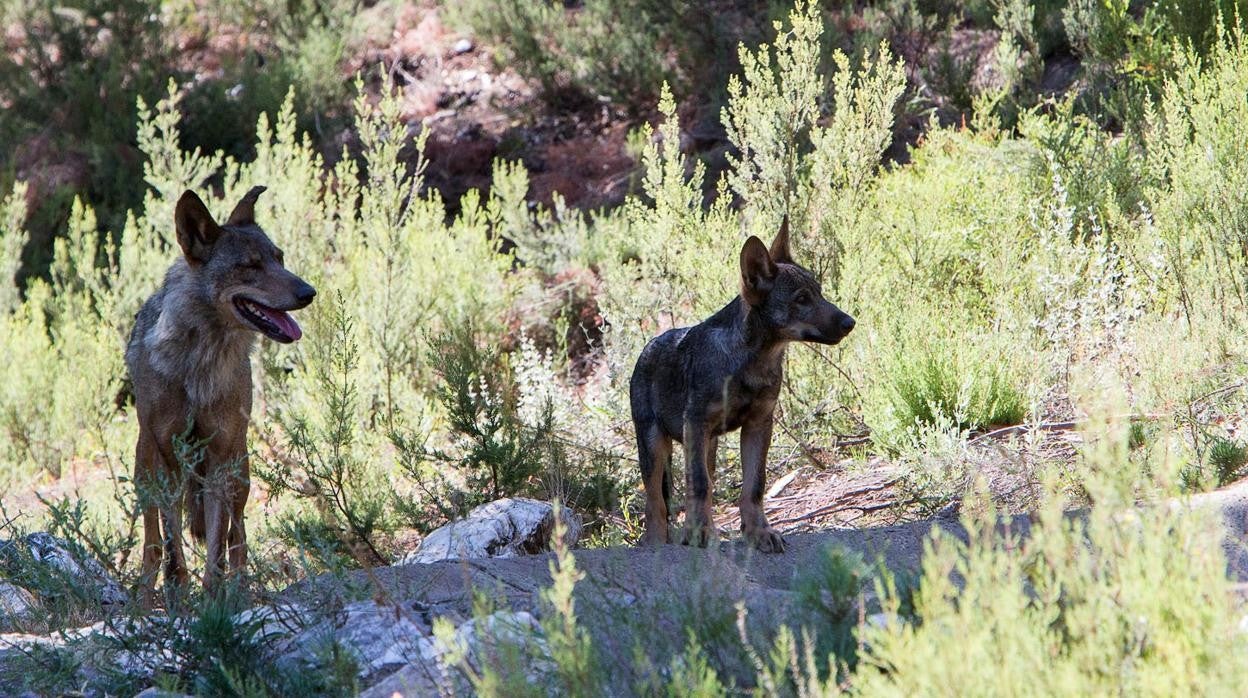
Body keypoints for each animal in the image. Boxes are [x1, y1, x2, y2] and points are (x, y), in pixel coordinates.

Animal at [126, 186, 314, 594]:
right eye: (250, 266)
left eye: (279, 259)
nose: (309, 292)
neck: (200, 363)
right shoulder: (169, 461)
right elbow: (173, 551)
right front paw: (179, 598)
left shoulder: (218, 461)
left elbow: (216, 550)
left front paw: (215, 600)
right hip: (146, 468)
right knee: (152, 544)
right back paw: (145, 596)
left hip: (239, 468)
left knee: (237, 537)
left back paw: (239, 589)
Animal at [628, 221, 853, 554]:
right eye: (801, 299)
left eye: (820, 293)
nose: (850, 322)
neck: (751, 362)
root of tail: (648, 347)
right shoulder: (696, 423)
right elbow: (699, 484)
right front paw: (700, 533)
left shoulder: (758, 425)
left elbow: (754, 486)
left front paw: (759, 533)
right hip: (655, 445)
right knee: (656, 503)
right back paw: (658, 544)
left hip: (706, 445)